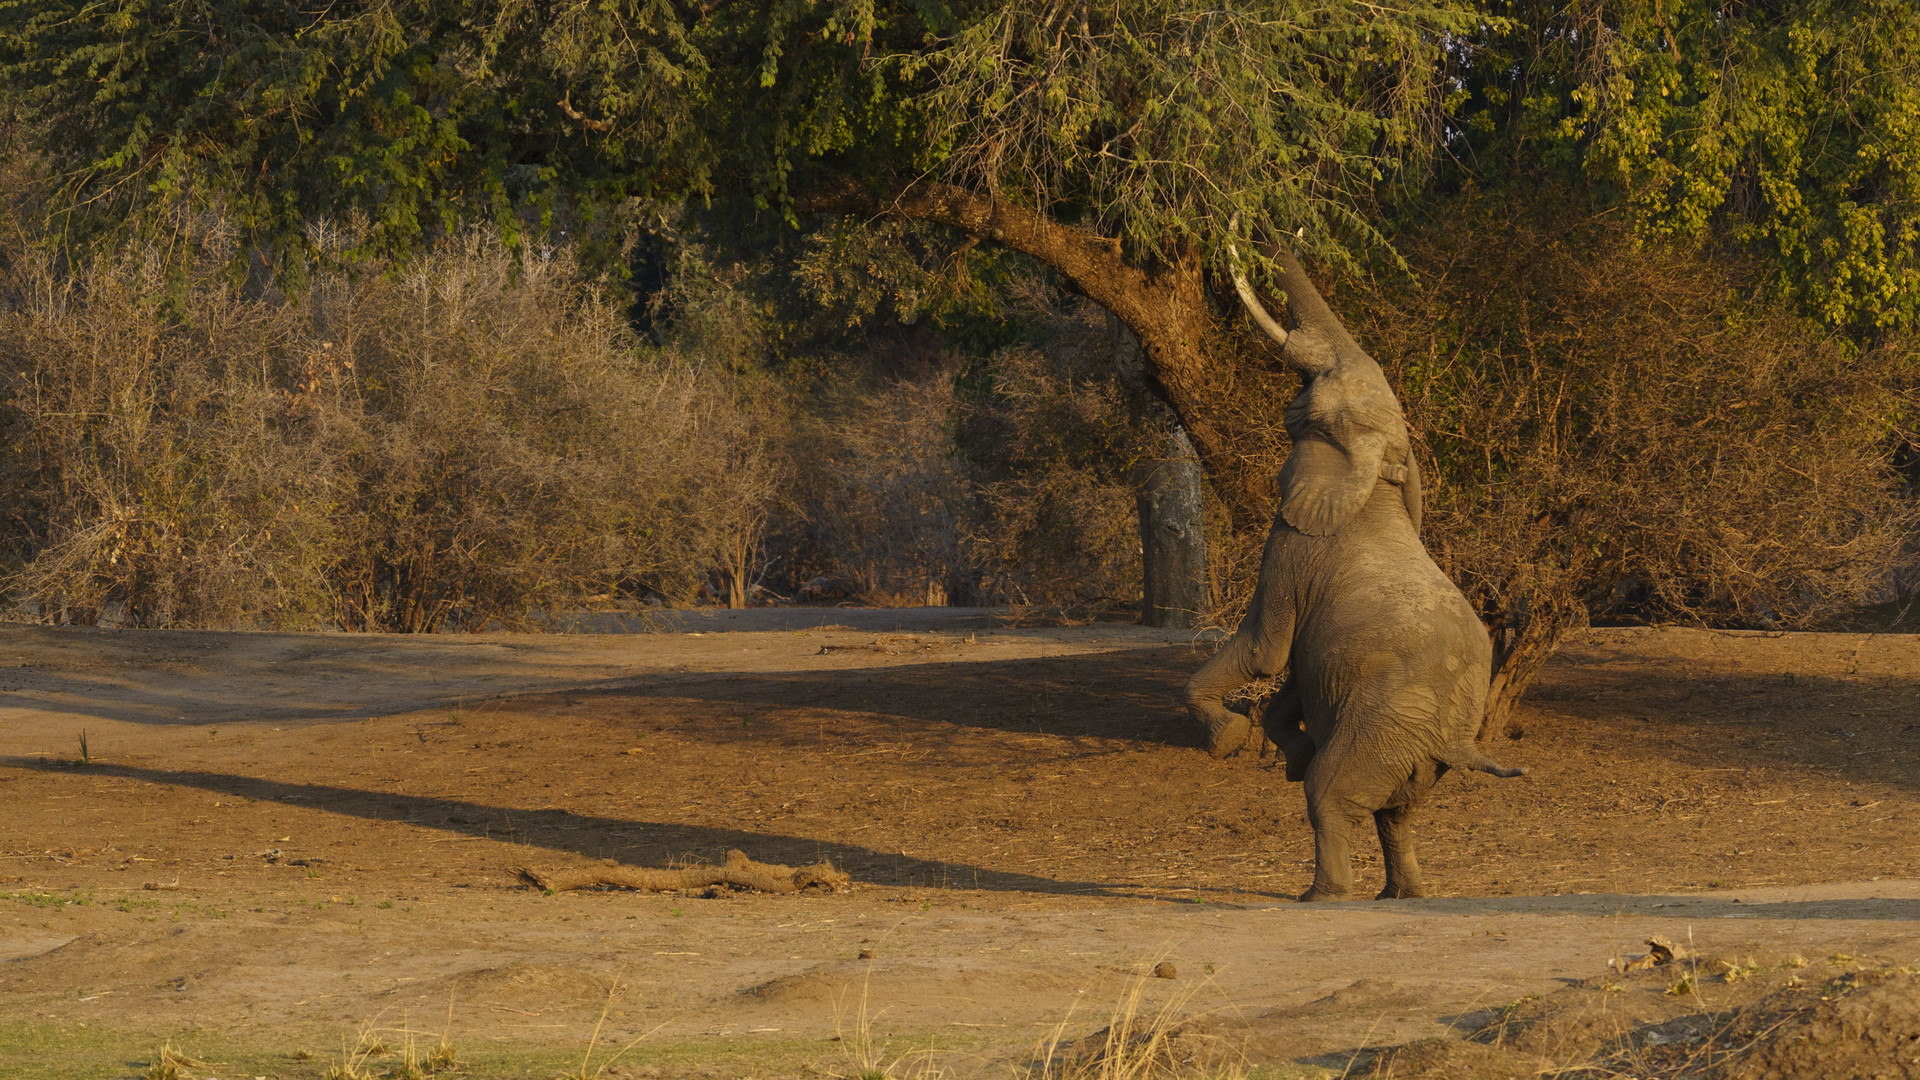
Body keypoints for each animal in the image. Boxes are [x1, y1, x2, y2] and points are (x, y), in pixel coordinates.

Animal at [1182, 242, 1528, 899]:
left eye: (1318, 389)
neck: (1379, 472)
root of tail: (1459, 741)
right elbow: (1291, 679)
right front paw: (1284, 751)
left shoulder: (1292, 545)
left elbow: (1264, 649)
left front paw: (1226, 739)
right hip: (1411, 748)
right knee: (1398, 811)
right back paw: (1401, 896)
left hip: (1383, 722)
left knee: (1333, 794)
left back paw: (1323, 896)